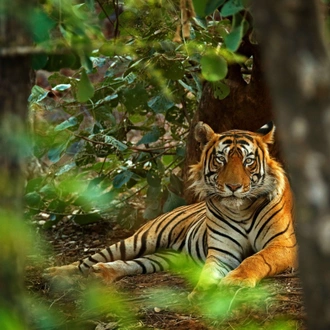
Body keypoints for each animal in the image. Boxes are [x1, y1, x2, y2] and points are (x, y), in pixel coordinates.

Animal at [43, 121, 296, 300]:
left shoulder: (283, 244)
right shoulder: (222, 251)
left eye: (248, 161)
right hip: (140, 239)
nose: (233, 187)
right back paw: (55, 273)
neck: (241, 209)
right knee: (88, 260)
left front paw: (236, 282)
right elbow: (208, 273)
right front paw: (202, 293)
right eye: (220, 160)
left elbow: (255, 259)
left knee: (133, 263)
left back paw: (101, 273)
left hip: (166, 257)